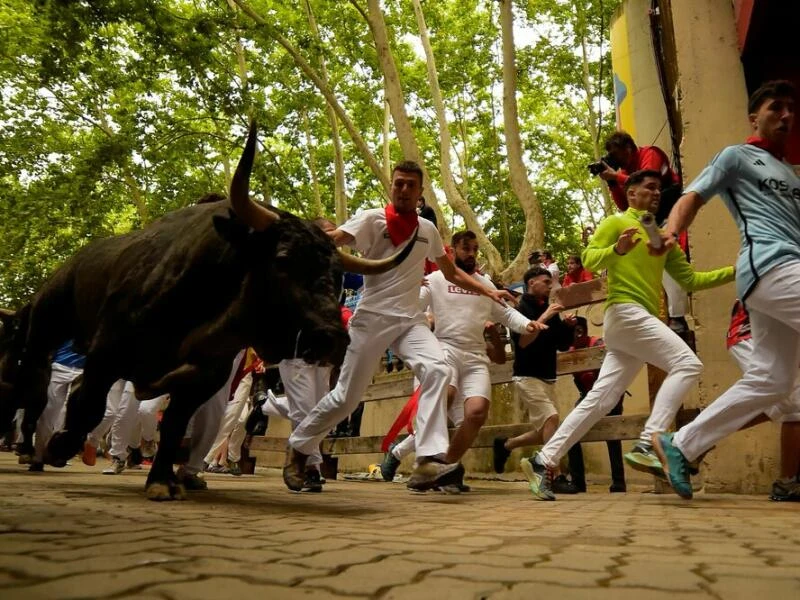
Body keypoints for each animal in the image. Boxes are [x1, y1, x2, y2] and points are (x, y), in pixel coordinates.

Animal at [4, 124, 418, 500]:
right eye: (283, 259)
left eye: (336, 275)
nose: (331, 338)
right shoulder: (107, 352)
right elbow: (89, 404)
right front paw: (60, 446)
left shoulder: (205, 377)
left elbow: (174, 426)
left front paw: (161, 480)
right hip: (45, 328)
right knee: (38, 388)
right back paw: (36, 450)